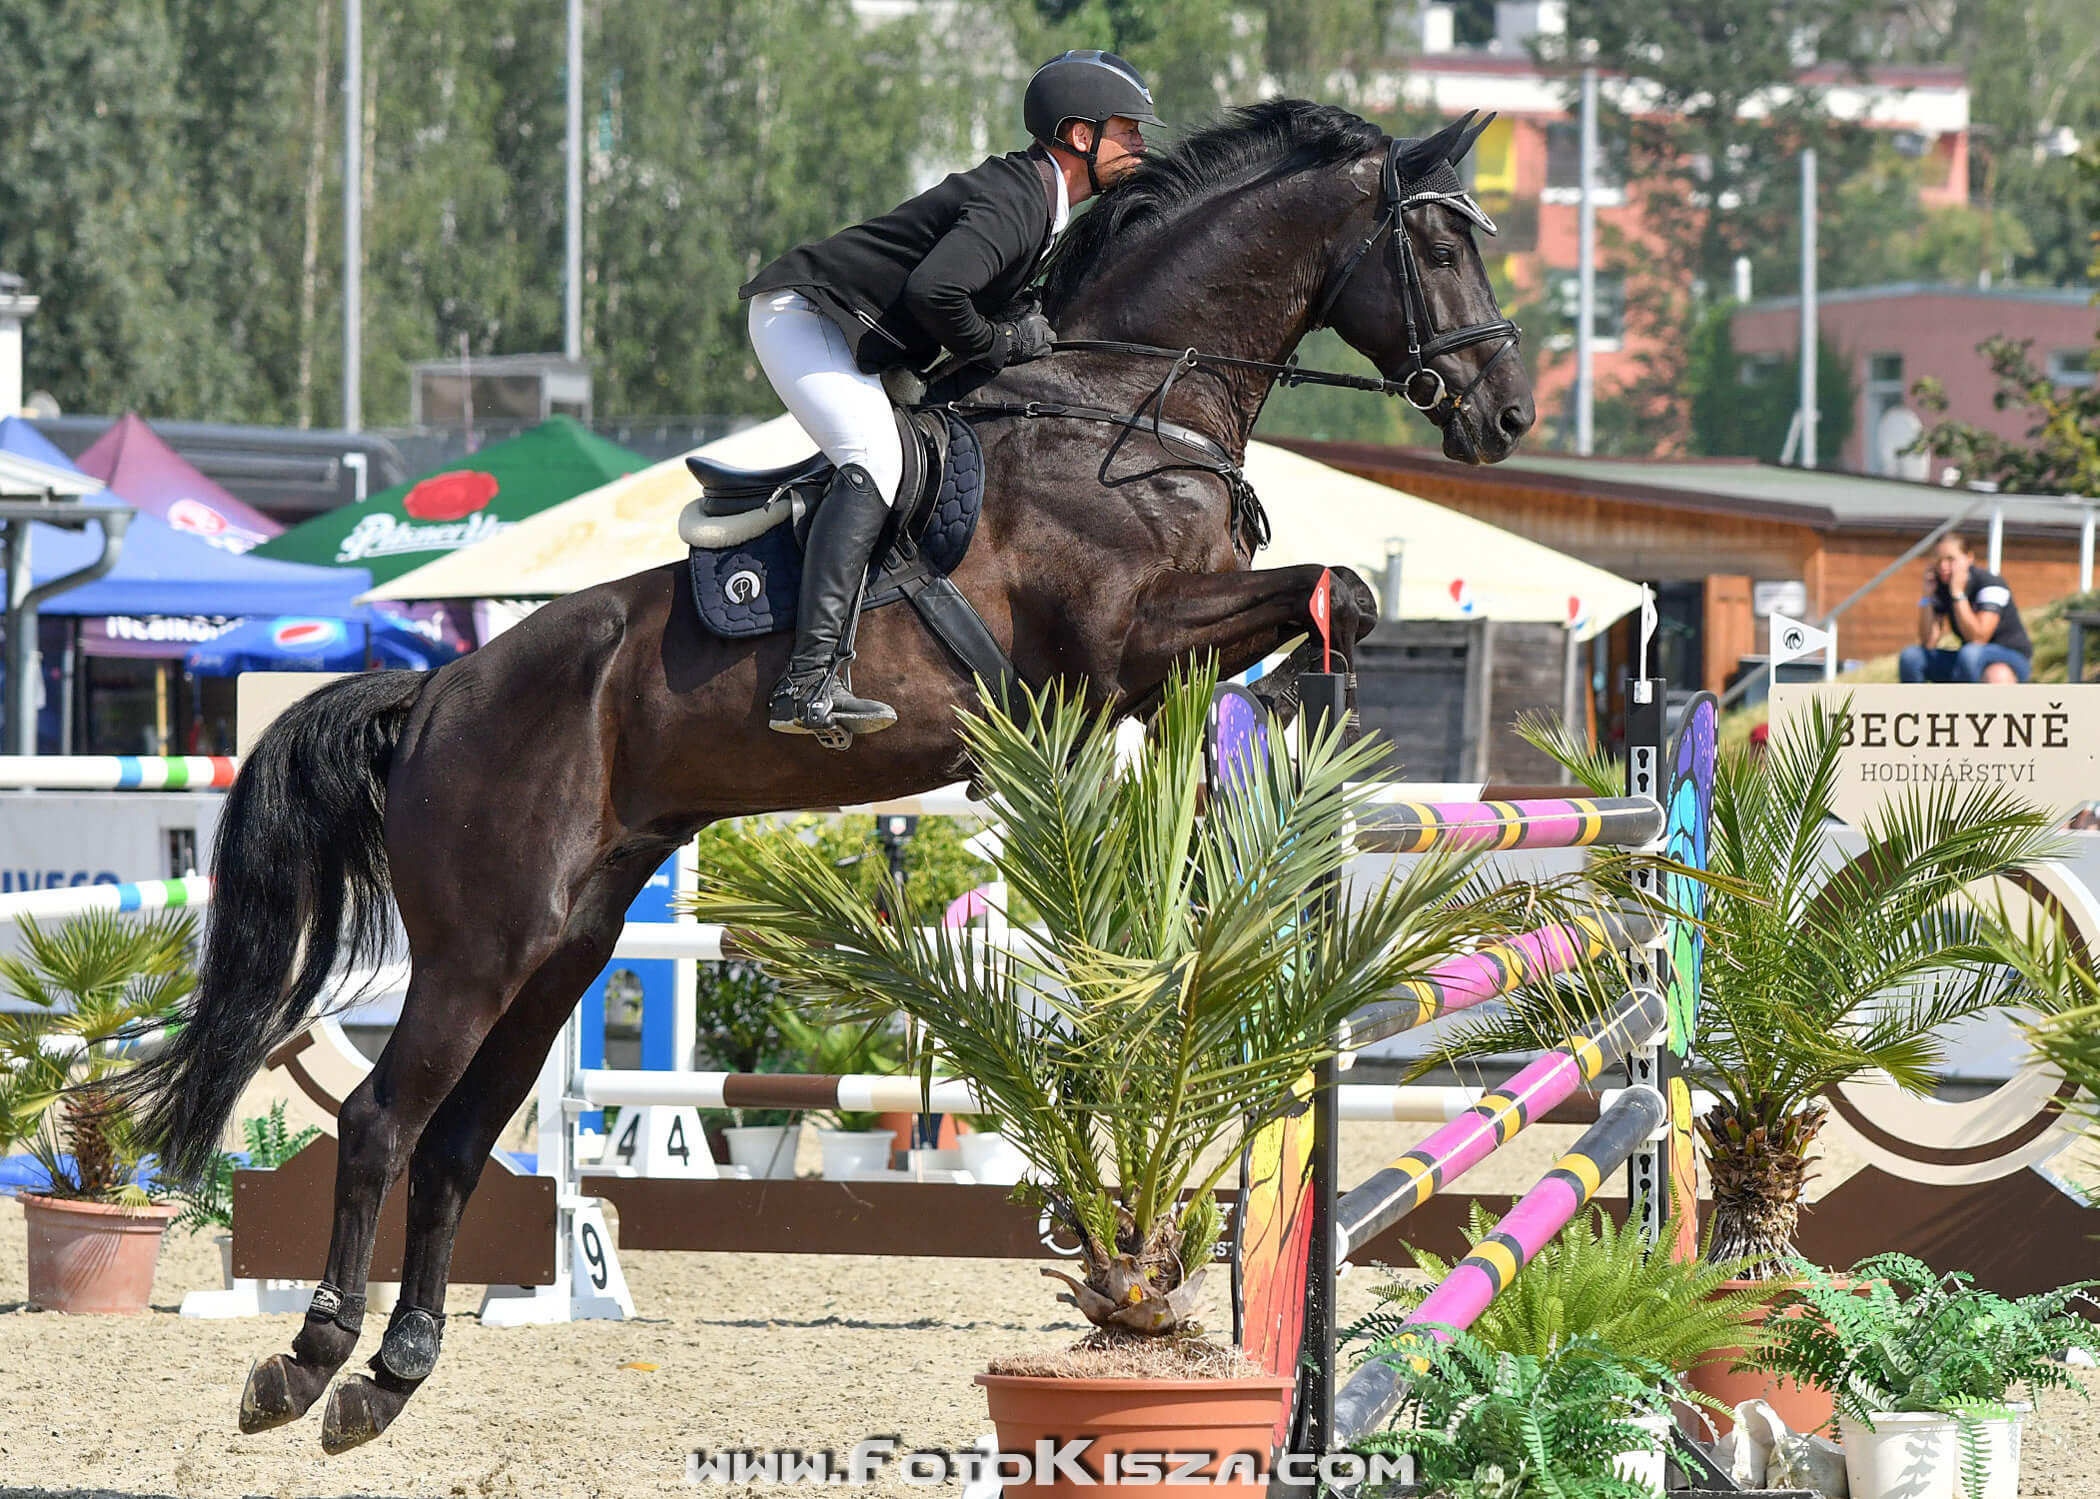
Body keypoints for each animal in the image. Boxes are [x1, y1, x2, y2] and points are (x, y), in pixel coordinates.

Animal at [127, 96, 1528, 1444]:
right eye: (1438, 246)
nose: (1503, 416)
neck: (1121, 401)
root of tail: (434, 694)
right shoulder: (1123, 640)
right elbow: (1331, 585)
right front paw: (1293, 709)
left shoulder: (1148, 657)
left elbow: (1325, 595)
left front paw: (1276, 733)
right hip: (483, 941)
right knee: (382, 1121)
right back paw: (306, 1358)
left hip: (565, 943)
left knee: (460, 1143)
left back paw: (393, 1371)